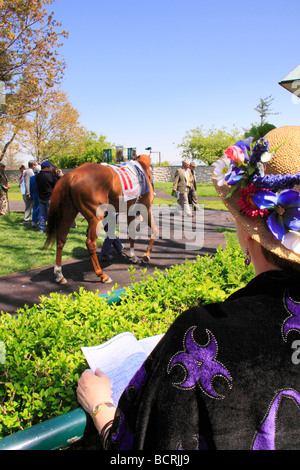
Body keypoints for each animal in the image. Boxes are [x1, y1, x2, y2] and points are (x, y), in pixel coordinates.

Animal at [45, 156, 157, 284]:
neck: (142, 169)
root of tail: (72, 174)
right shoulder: (146, 208)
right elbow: (155, 229)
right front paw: (146, 255)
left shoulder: (131, 211)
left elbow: (132, 234)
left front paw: (134, 257)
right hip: (96, 217)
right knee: (90, 243)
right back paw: (102, 275)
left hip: (69, 213)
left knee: (61, 239)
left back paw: (59, 274)